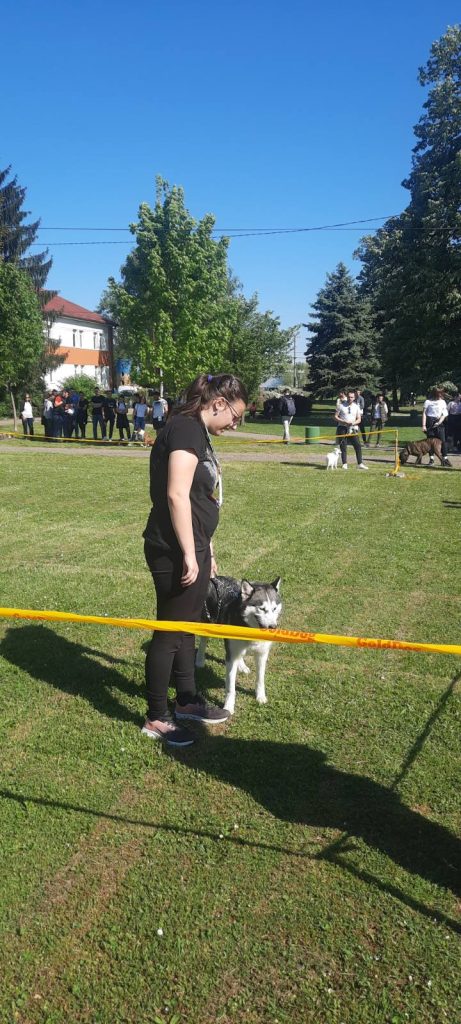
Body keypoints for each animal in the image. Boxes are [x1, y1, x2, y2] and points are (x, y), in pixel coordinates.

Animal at [196, 575, 282, 714]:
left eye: (274, 609)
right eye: (262, 609)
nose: (273, 627)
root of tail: (215, 577)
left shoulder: (262, 654)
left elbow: (260, 679)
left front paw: (260, 696)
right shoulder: (230, 658)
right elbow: (231, 688)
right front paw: (228, 707)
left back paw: (242, 665)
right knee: (203, 642)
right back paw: (199, 660)